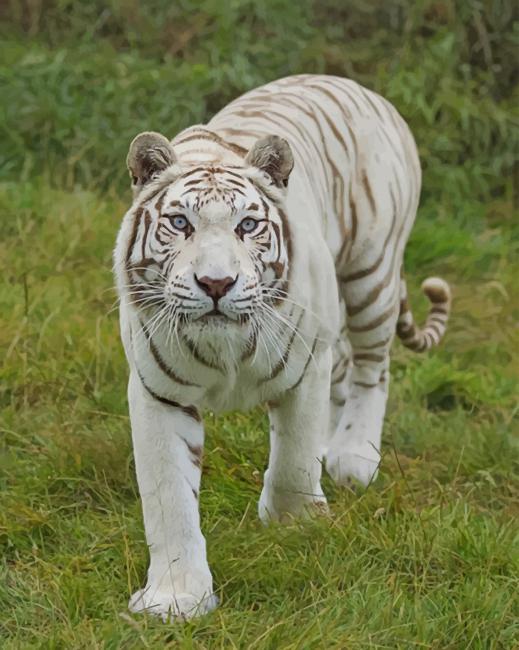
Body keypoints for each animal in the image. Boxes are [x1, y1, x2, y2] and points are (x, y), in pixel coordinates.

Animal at [113, 74, 451, 620]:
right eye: (180, 224)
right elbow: (168, 497)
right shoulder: (158, 392)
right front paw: (177, 598)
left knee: (372, 369)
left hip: (370, 274)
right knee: (348, 369)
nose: (216, 283)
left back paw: (354, 456)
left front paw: (295, 524)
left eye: (247, 225)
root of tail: (354, 84)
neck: (224, 350)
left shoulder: (306, 365)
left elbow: (294, 456)